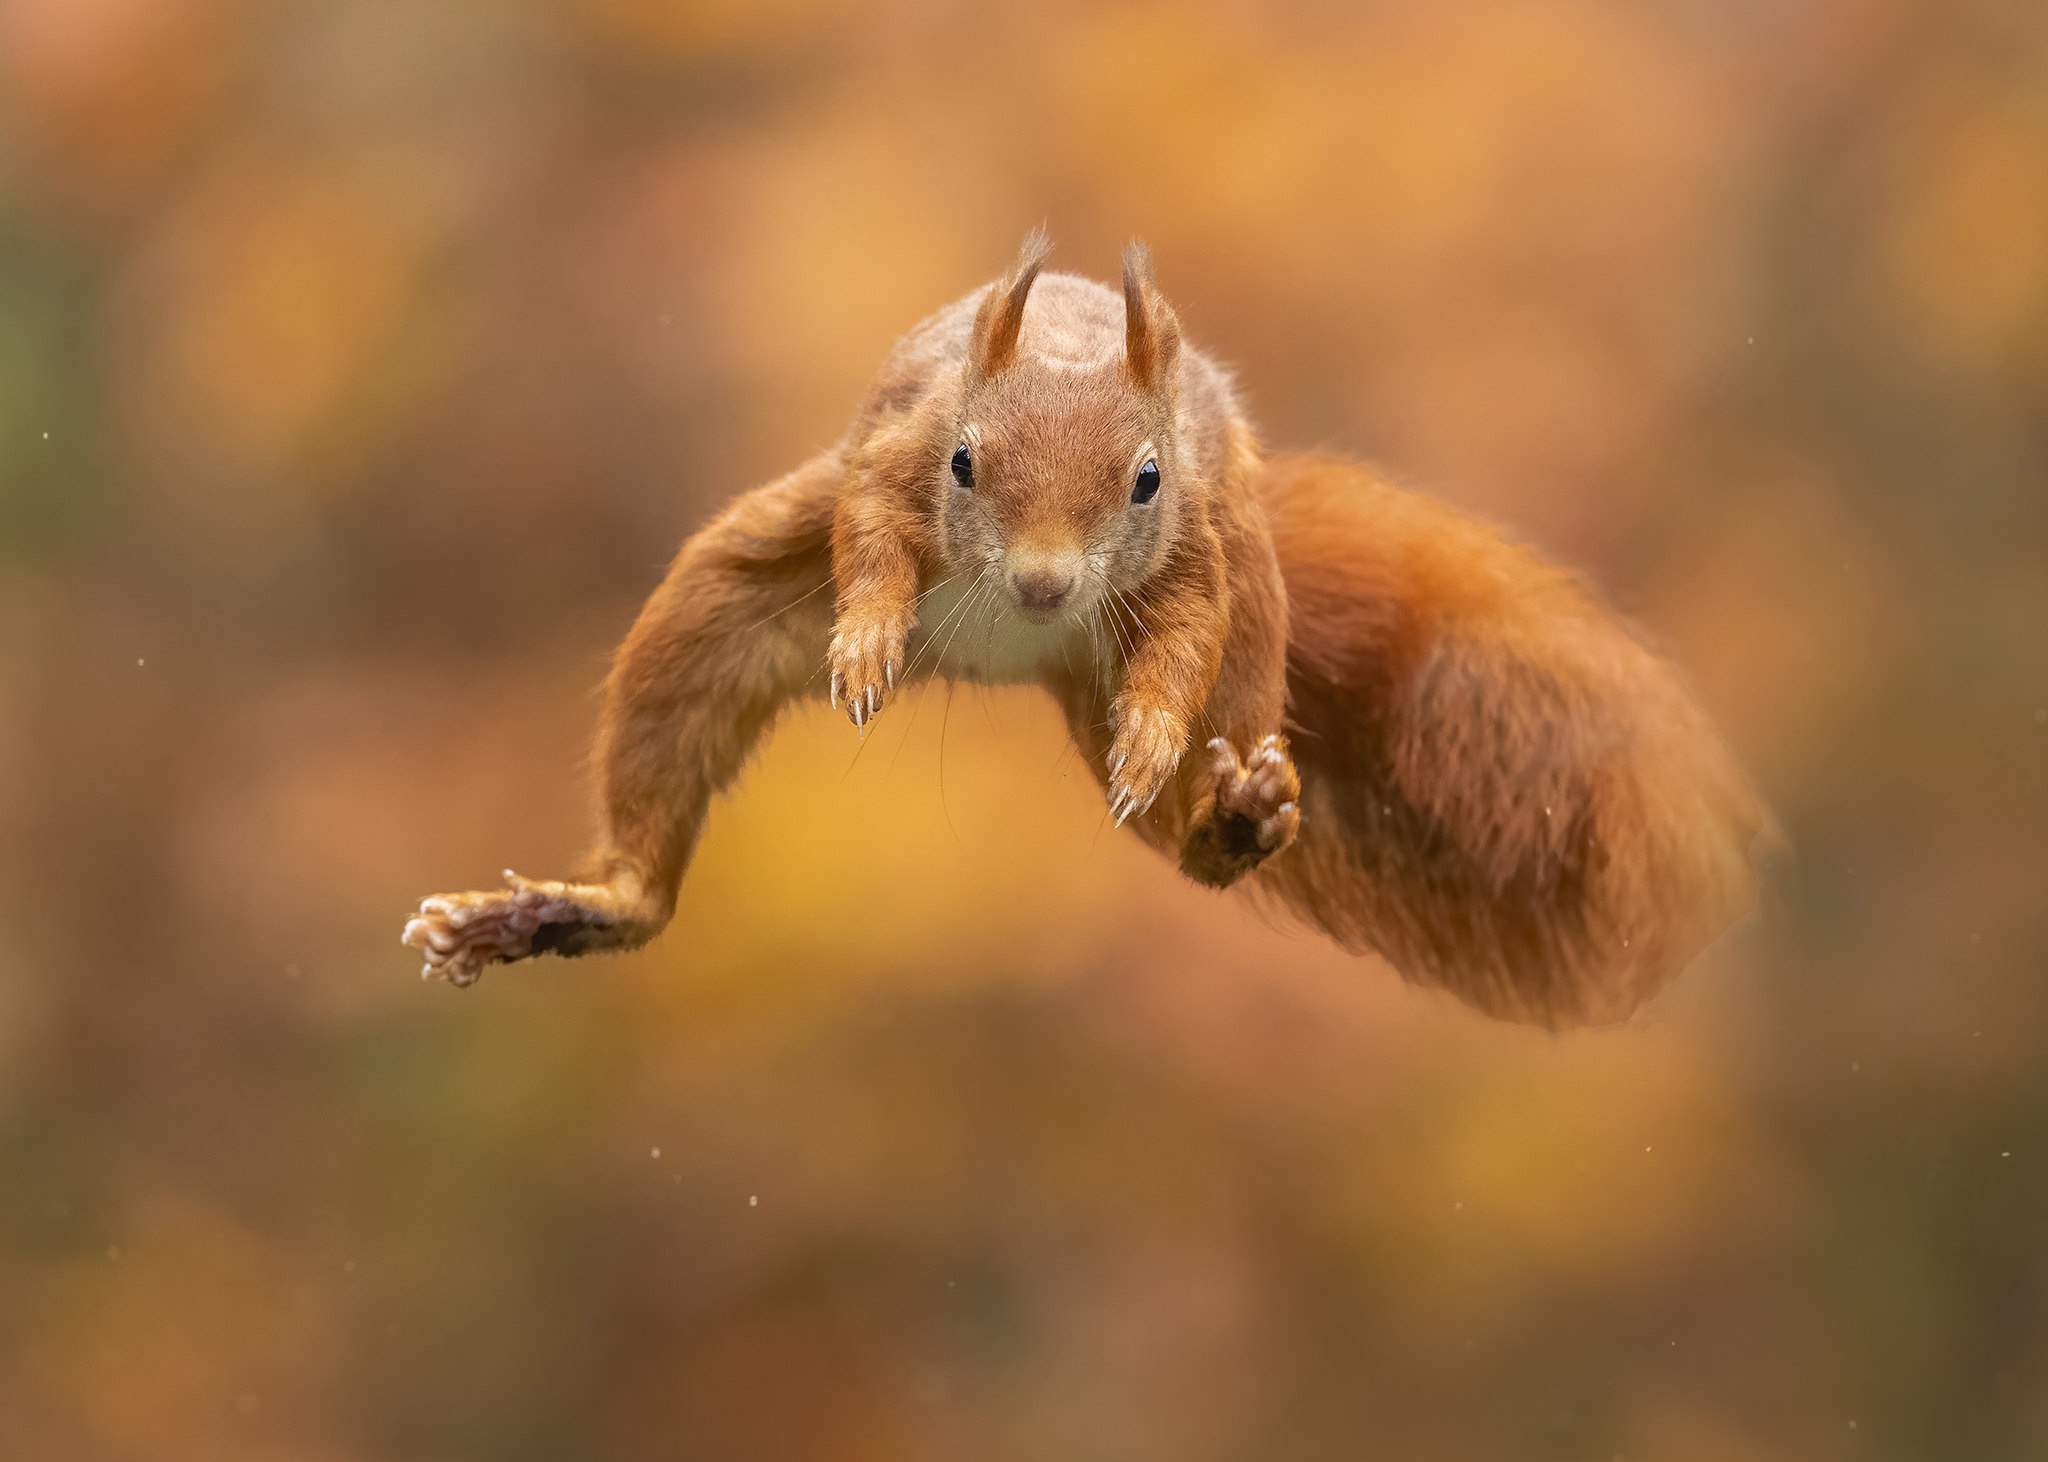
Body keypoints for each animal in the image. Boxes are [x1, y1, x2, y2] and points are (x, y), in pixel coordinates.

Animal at [402, 231, 1762, 1028]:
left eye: (1145, 480)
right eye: (965, 461)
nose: (1048, 583)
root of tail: (1013, 655)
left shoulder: (1199, 552)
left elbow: (1183, 636)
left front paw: (1154, 734)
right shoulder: (888, 463)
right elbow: (871, 542)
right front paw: (865, 639)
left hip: (1247, 664)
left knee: (1205, 803)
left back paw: (1231, 814)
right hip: (726, 599)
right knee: (660, 783)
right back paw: (563, 908)